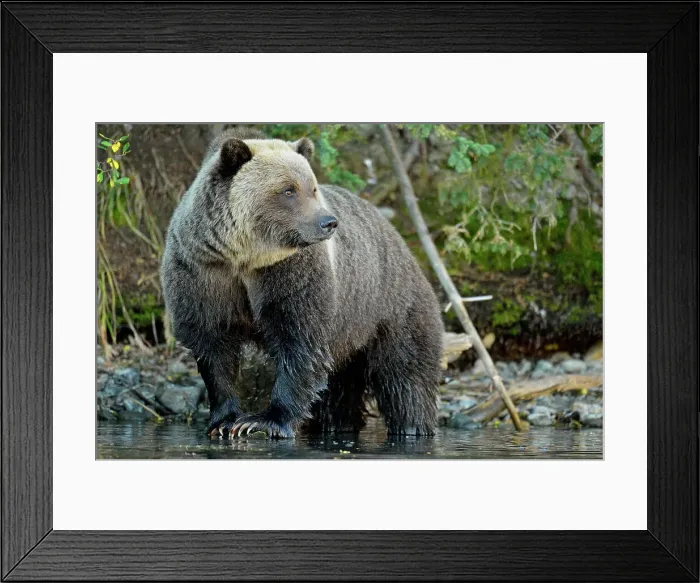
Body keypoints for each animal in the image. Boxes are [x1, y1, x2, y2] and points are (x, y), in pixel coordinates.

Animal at [161, 128, 443, 438]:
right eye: (288, 190)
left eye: (313, 188)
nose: (328, 222)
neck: (243, 258)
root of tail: (399, 240)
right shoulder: (203, 274)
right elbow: (213, 346)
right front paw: (224, 421)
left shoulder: (290, 273)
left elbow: (299, 340)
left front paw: (264, 420)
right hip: (351, 331)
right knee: (340, 389)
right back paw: (337, 425)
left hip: (389, 307)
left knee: (405, 374)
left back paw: (412, 427)